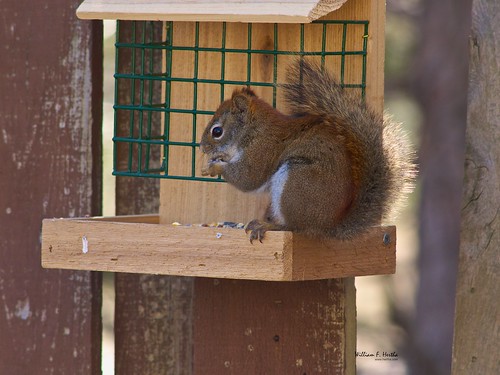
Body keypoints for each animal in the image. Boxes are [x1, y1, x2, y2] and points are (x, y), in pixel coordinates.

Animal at [201, 60, 416, 242]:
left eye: (217, 131)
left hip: (296, 182)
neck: (253, 130)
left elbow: (248, 178)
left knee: (294, 227)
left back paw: (268, 226)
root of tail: (327, 226)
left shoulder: (262, 150)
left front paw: (214, 168)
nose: (202, 147)